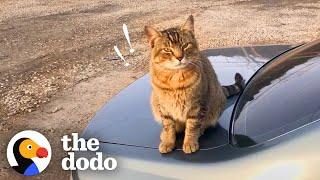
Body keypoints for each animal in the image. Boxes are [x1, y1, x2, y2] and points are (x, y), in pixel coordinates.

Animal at [144, 15, 244, 153]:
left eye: (185, 45)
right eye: (167, 50)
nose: (179, 57)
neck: (175, 79)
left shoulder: (197, 106)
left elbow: (192, 126)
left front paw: (190, 142)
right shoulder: (164, 107)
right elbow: (168, 126)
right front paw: (168, 141)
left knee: (204, 123)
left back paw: (200, 130)